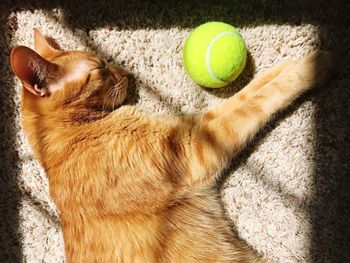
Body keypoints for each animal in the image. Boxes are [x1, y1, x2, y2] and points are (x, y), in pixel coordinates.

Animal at [10, 29, 332, 263]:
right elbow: (251, 103)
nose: (127, 74)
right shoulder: (194, 146)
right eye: (100, 68)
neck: (72, 134)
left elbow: (249, 92)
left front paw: (288, 64)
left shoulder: (193, 131)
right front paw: (311, 67)